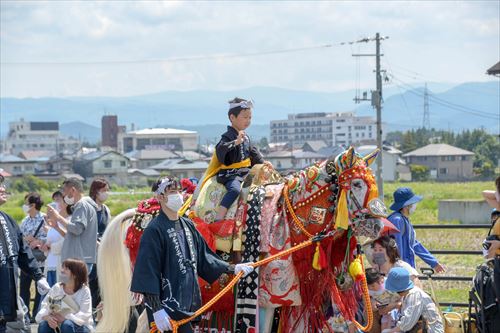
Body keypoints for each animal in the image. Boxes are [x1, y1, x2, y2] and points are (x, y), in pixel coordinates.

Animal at [96, 146, 394, 332]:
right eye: (357, 184)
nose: (377, 225)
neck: (286, 219)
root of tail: (139, 212)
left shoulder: (292, 306)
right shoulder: (265, 300)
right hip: (152, 299)